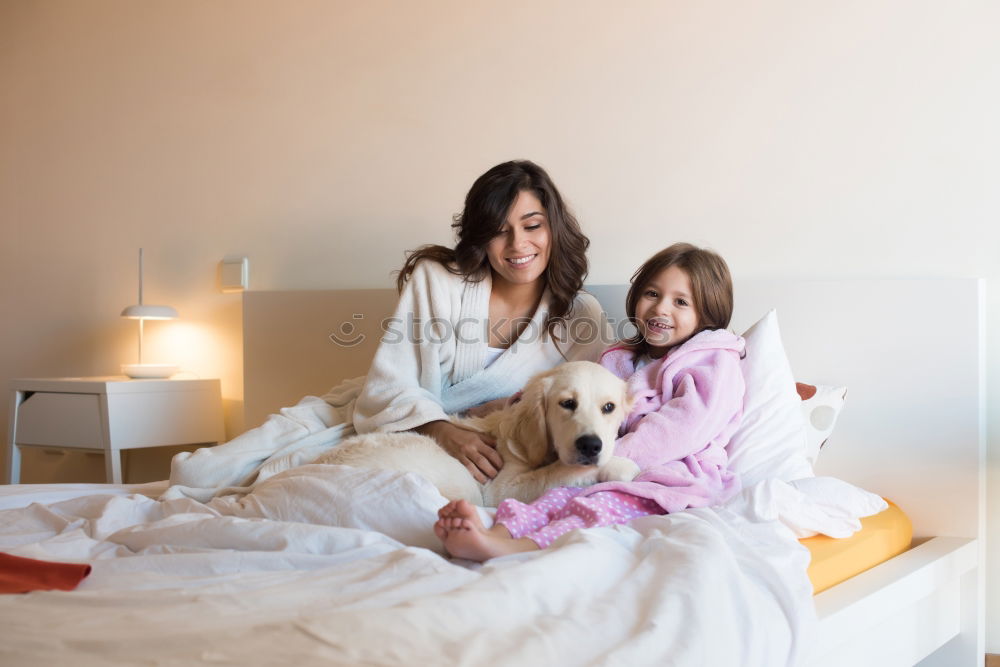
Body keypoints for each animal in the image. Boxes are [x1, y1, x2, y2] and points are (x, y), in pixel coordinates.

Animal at [314, 362, 640, 508]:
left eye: (609, 407)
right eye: (567, 403)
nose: (591, 445)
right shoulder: (501, 490)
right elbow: (557, 471)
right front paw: (621, 465)